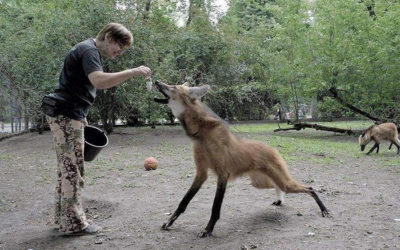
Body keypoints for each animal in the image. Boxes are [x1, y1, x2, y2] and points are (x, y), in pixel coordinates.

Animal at [153, 81, 328, 237]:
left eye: (172, 86)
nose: (156, 82)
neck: (202, 134)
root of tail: (273, 149)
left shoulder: (223, 174)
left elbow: (215, 208)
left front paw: (208, 230)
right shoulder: (201, 173)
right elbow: (184, 202)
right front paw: (169, 223)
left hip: (280, 181)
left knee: (309, 188)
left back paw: (324, 210)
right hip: (260, 182)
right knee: (278, 186)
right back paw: (280, 200)